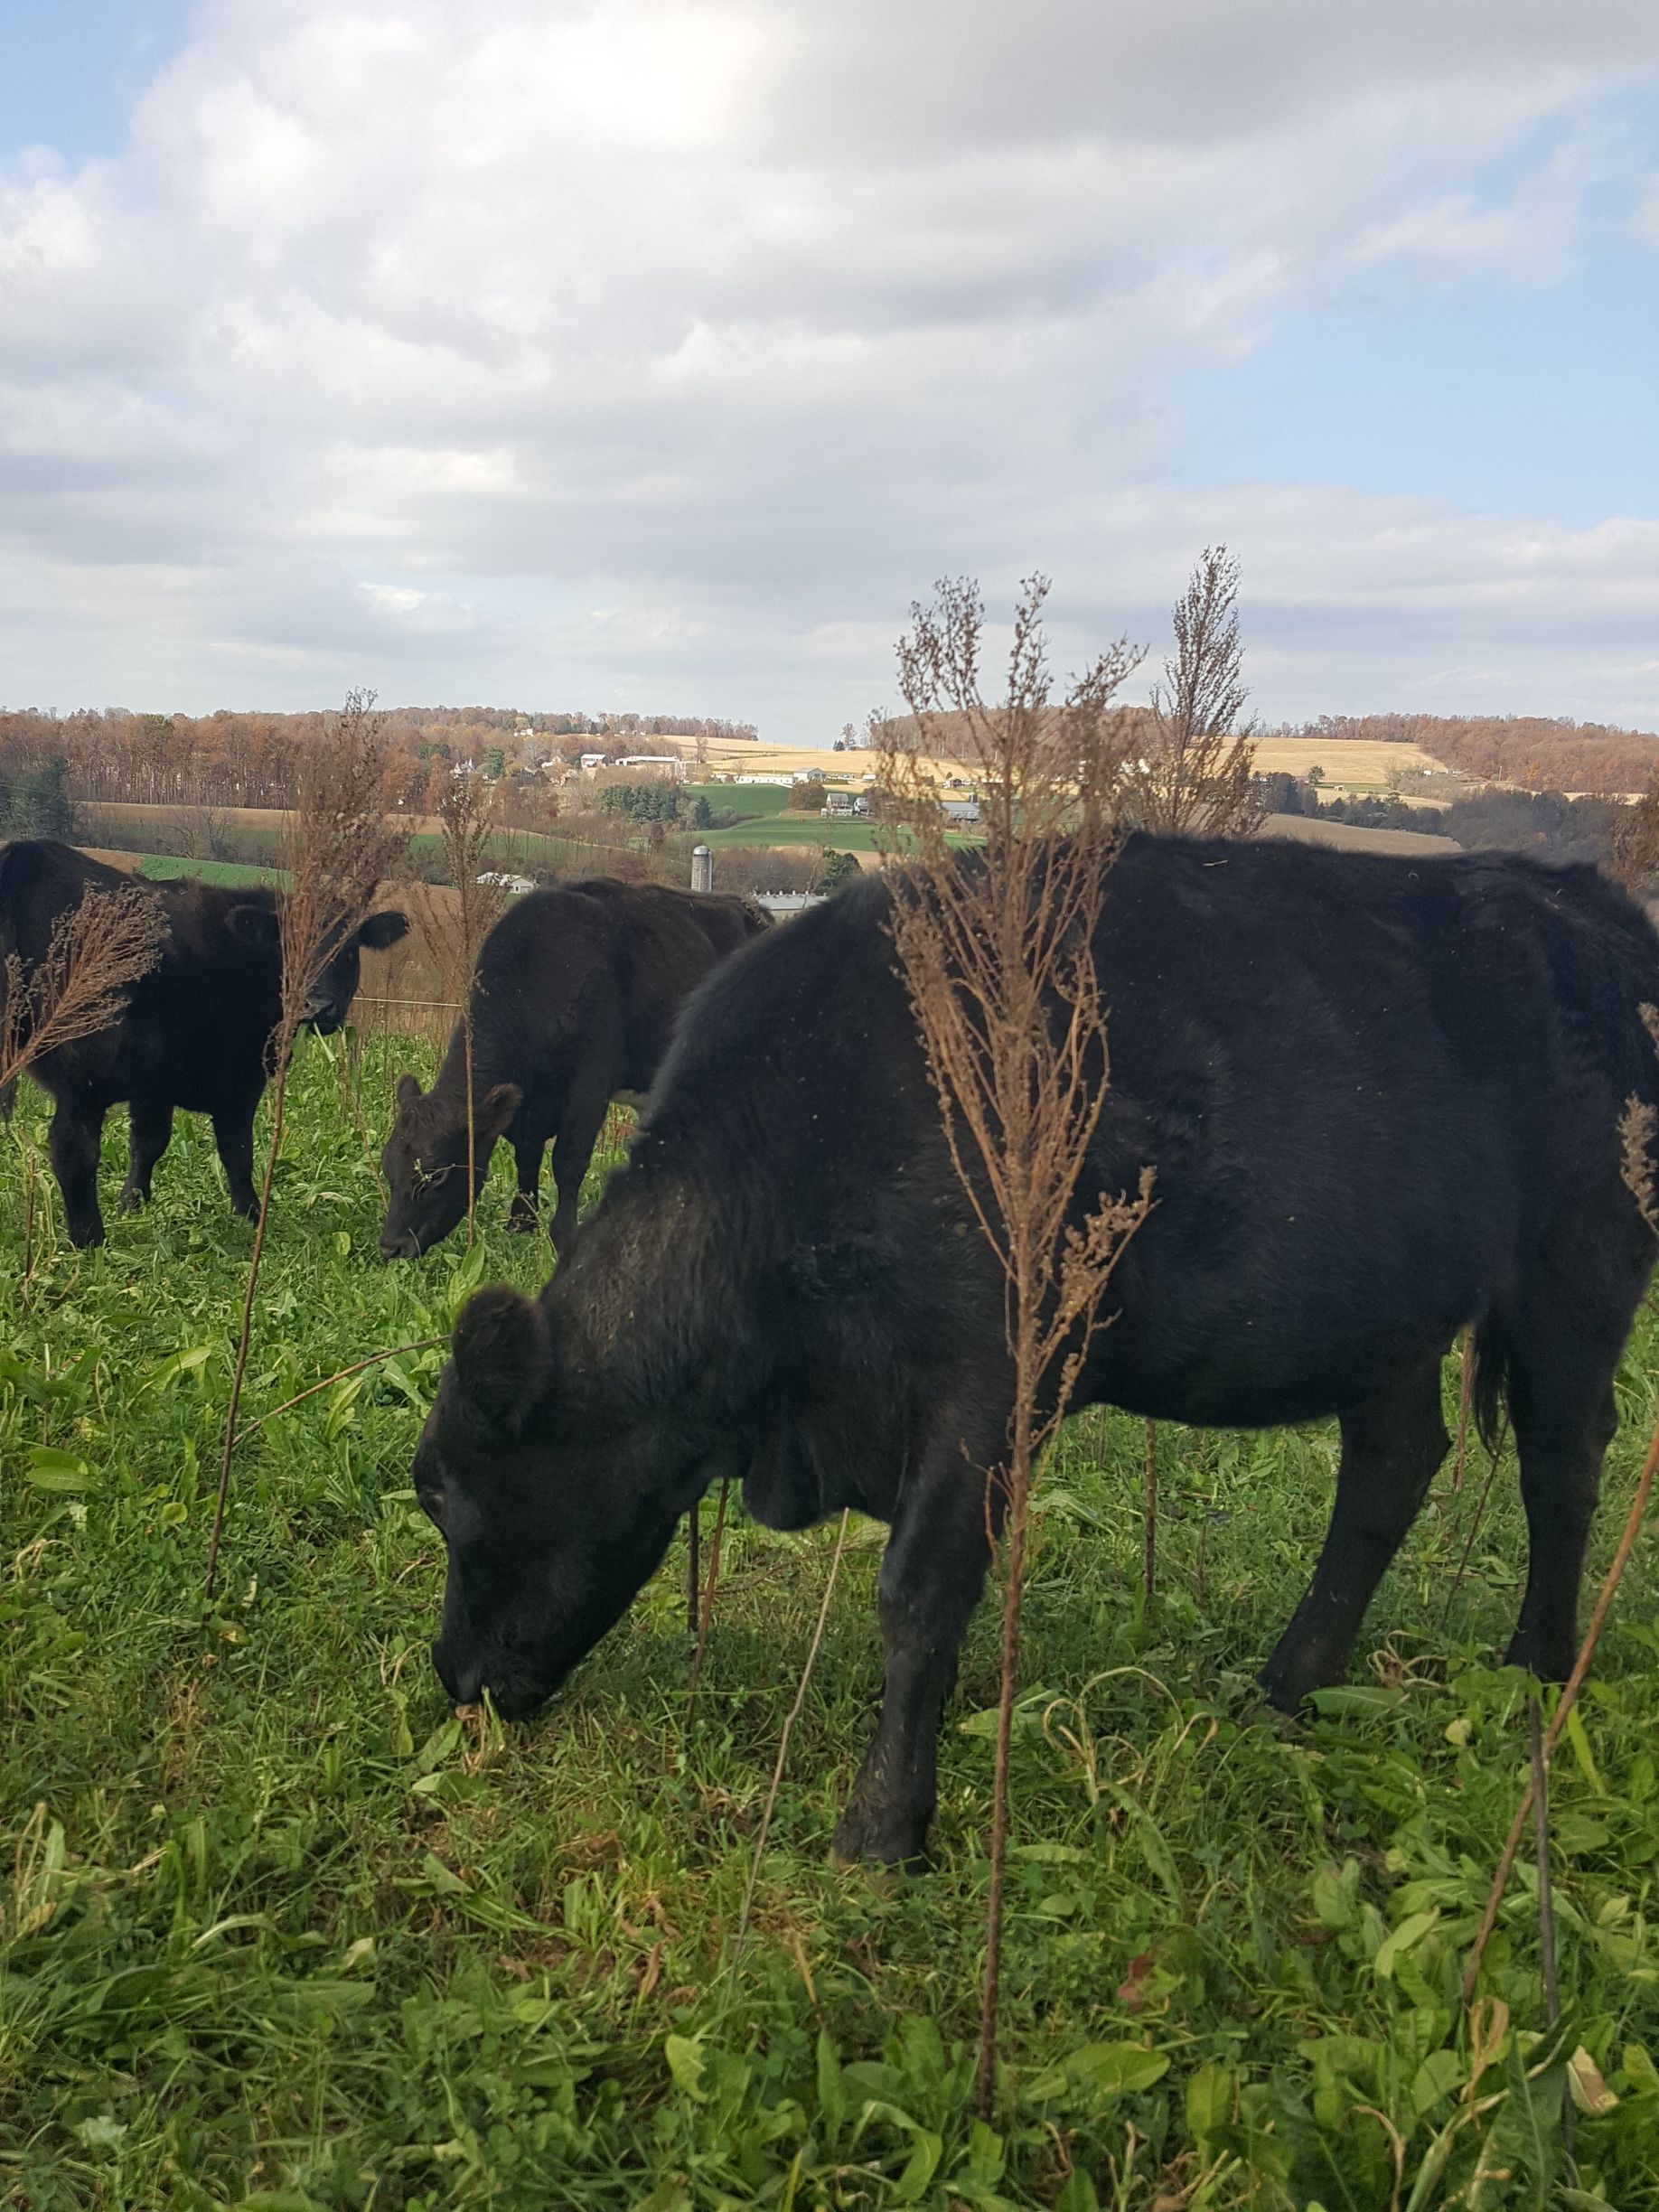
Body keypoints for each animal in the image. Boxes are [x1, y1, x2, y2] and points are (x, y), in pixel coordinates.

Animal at [0, 839, 408, 1248]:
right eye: (289, 948)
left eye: (349, 951)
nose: (319, 1006)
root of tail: (31, 854)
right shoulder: (239, 1078)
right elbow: (237, 1150)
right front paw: (251, 1215)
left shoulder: (153, 1082)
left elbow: (148, 1142)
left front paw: (132, 1204)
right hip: (83, 1069)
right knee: (73, 1148)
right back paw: (89, 1239)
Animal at [378, 877, 769, 1260]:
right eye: (388, 1167)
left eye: (436, 1176)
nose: (391, 1247)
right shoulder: (526, 1108)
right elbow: (527, 1160)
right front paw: (521, 1227)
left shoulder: (589, 1085)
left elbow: (568, 1162)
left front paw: (562, 1239)